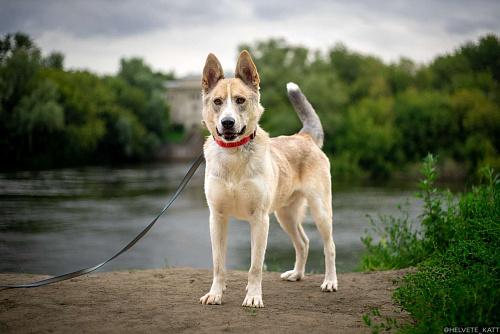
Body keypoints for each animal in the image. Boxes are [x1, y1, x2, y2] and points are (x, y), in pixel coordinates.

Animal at [198, 50, 336, 308]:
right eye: (217, 101)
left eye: (240, 100)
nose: (227, 123)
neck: (234, 154)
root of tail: (303, 136)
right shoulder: (217, 218)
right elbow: (218, 264)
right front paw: (215, 294)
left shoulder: (260, 219)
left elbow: (255, 266)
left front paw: (253, 297)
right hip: (286, 214)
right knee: (303, 242)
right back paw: (297, 274)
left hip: (320, 209)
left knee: (329, 245)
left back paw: (330, 282)